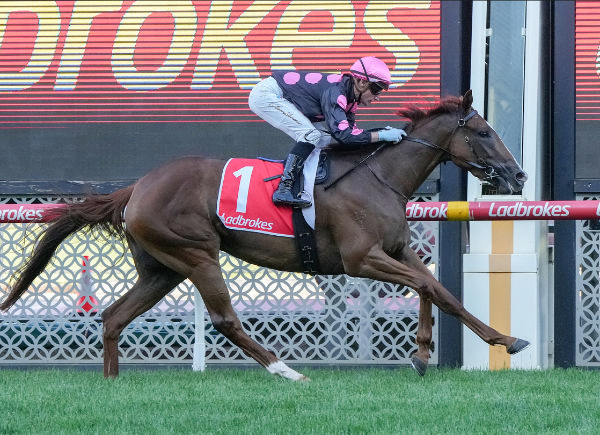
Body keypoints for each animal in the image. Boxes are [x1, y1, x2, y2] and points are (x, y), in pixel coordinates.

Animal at [0, 89, 528, 382]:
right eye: (483, 131)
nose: (518, 175)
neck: (379, 176)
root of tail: (138, 185)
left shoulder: (397, 250)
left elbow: (439, 291)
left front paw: (502, 340)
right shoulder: (361, 258)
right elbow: (426, 286)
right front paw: (422, 354)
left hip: (161, 270)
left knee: (113, 316)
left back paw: (111, 384)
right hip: (196, 254)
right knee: (225, 319)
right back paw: (287, 372)